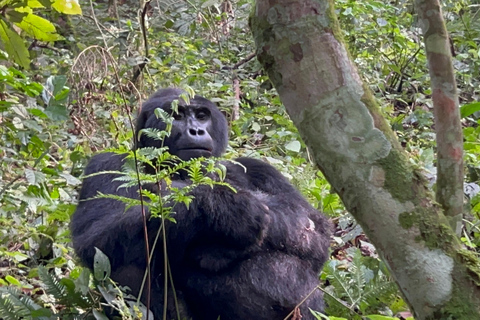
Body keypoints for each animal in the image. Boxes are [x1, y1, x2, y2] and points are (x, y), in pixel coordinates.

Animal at [71, 88, 332, 320]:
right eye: (177, 116)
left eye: (202, 115)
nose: (195, 130)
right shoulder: (104, 162)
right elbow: (94, 237)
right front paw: (226, 209)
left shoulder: (258, 167)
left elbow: (315, 231)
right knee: (126, 260)